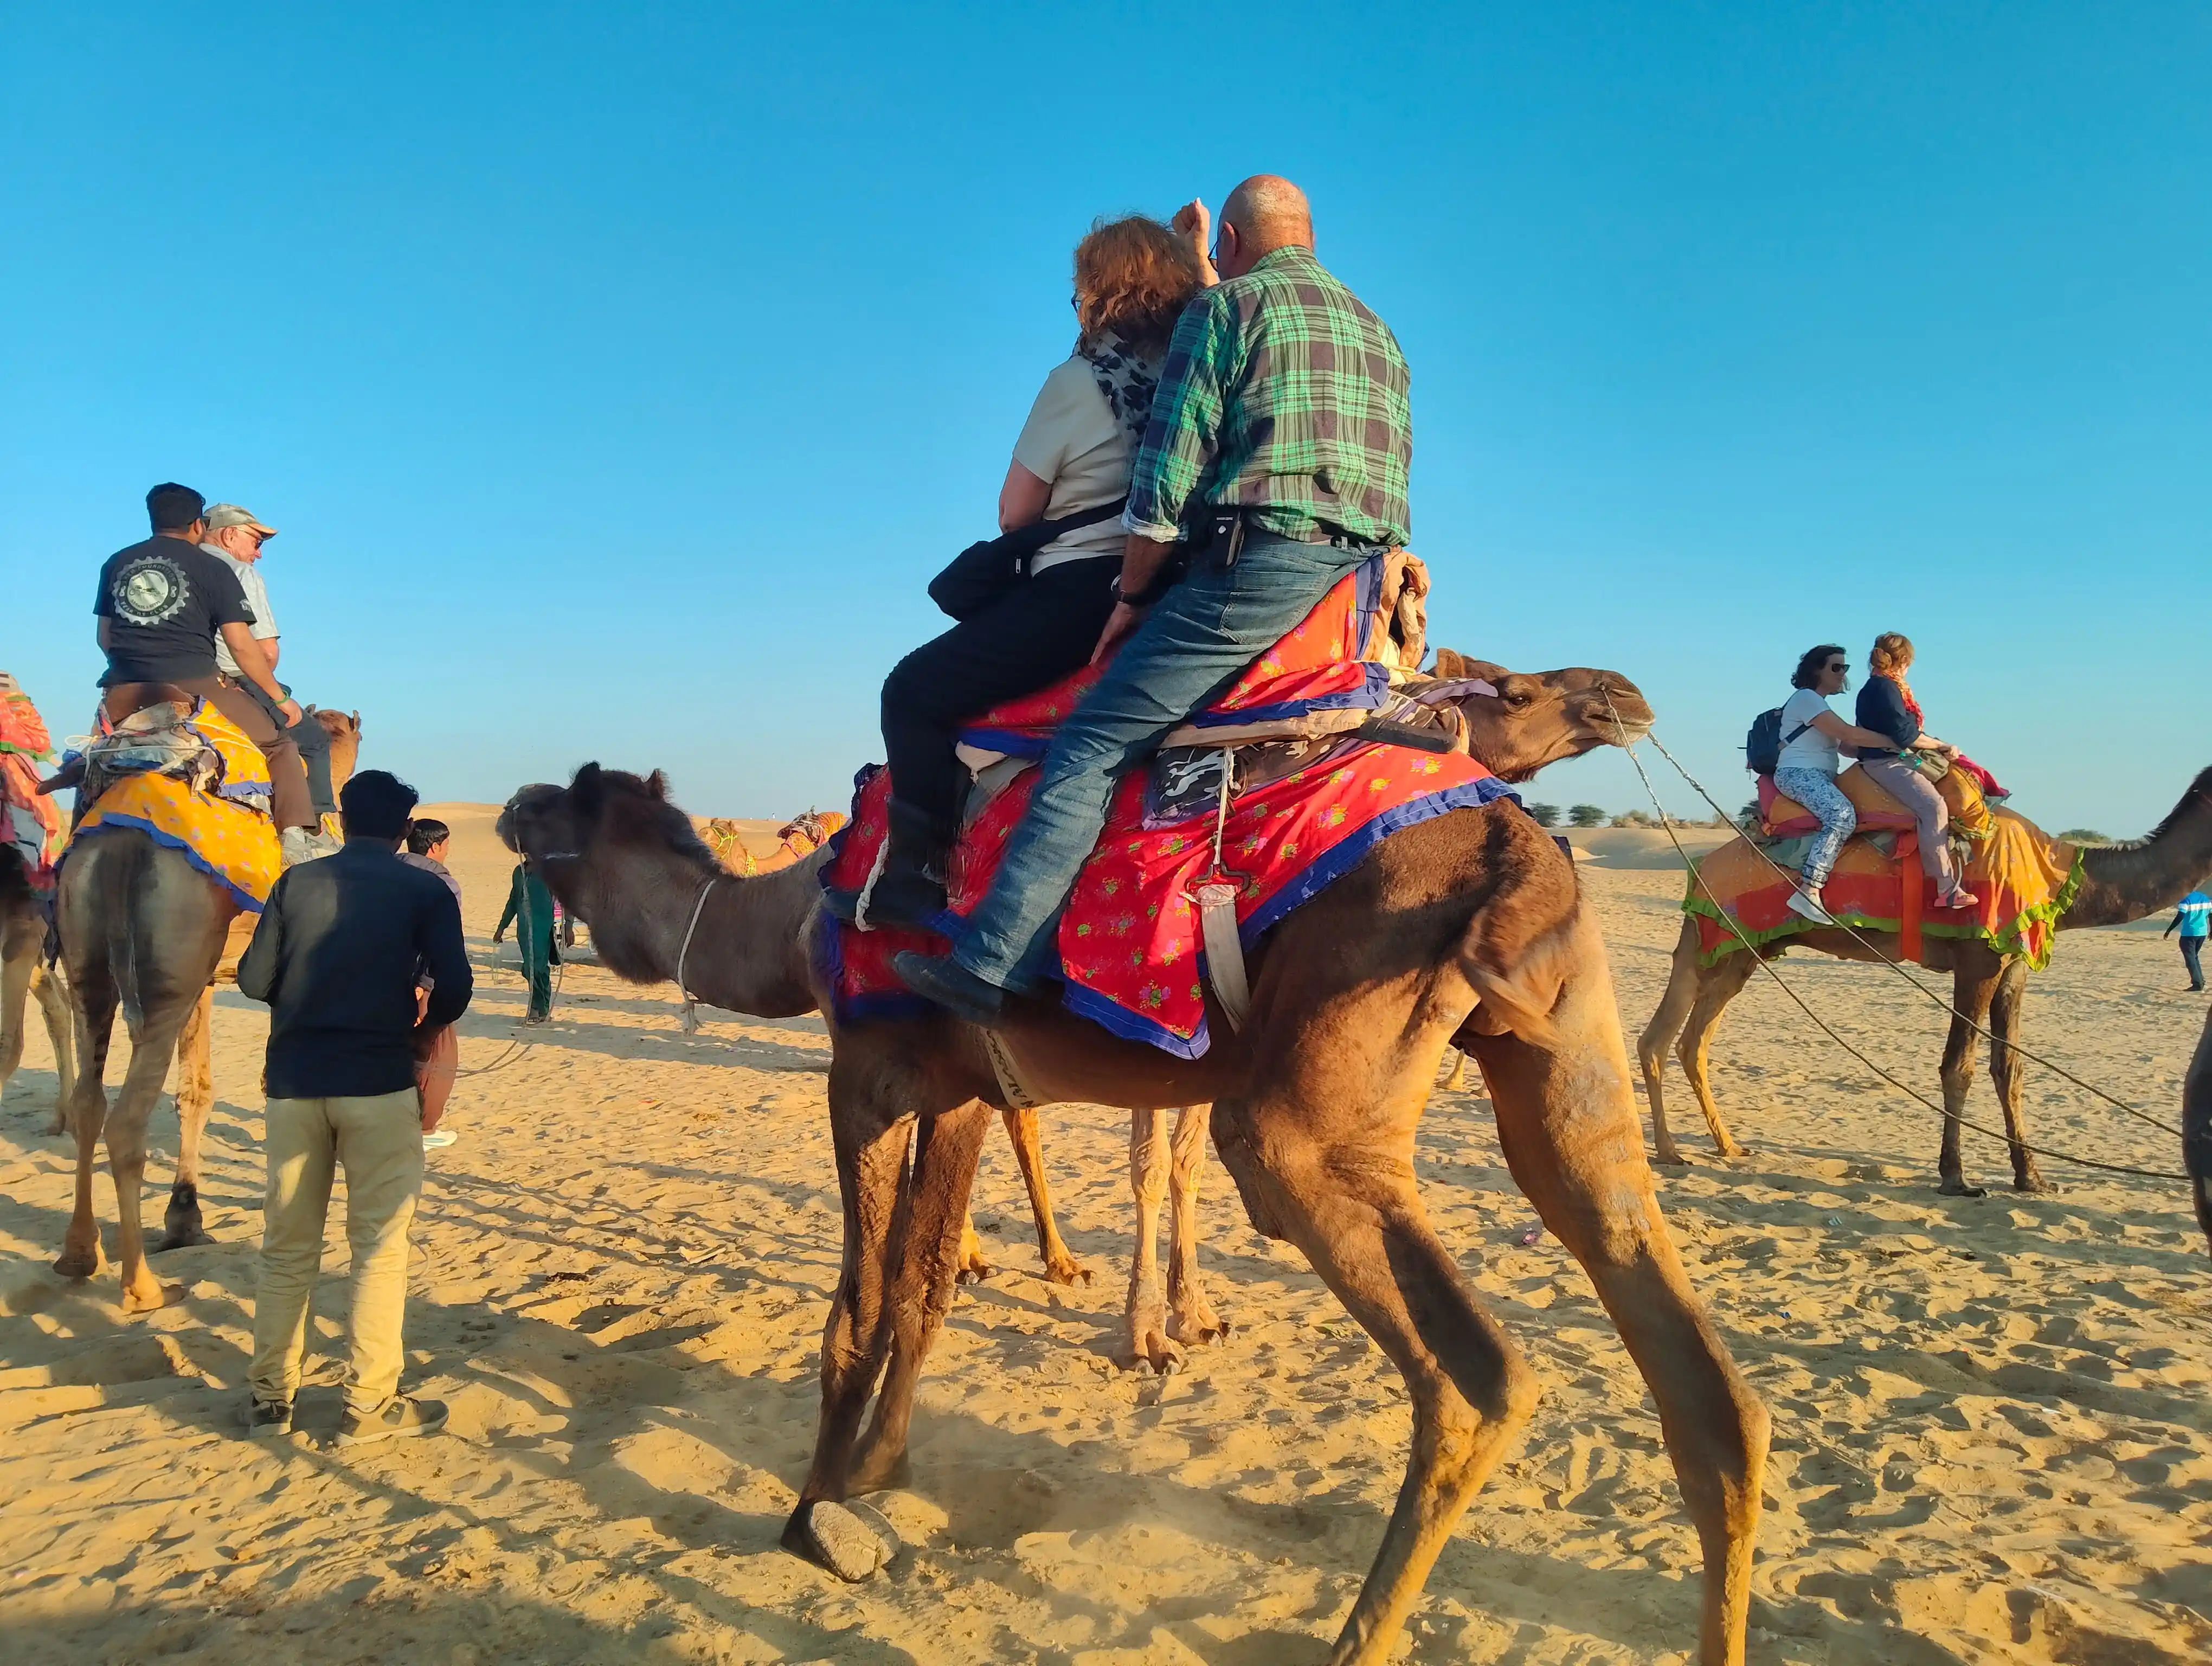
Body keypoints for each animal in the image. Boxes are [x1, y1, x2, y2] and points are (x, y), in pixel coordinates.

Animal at [50, 706, 363, 1310]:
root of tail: (123, 843)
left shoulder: (209, 984)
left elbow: (195, 1091)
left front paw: (185, 1220)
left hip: (95, 963)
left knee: (88, 1103)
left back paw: (79, 1252)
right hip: (170, 967)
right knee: (126, 1119)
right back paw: (142, 1287)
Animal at [1639, 767, 2212, 1194]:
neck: (2060, 872)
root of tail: (1699, 869)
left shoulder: (2013, 967)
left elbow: (2011, 1069)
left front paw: (2032, 1177)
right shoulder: (1978, 961)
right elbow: (1959, 1067)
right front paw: (1955, 1178)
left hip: (1742, 951)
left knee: (1688, 1041)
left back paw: (1723, 1146)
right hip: (1722, 939)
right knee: (1667, 1037)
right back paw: (1671, 1152)